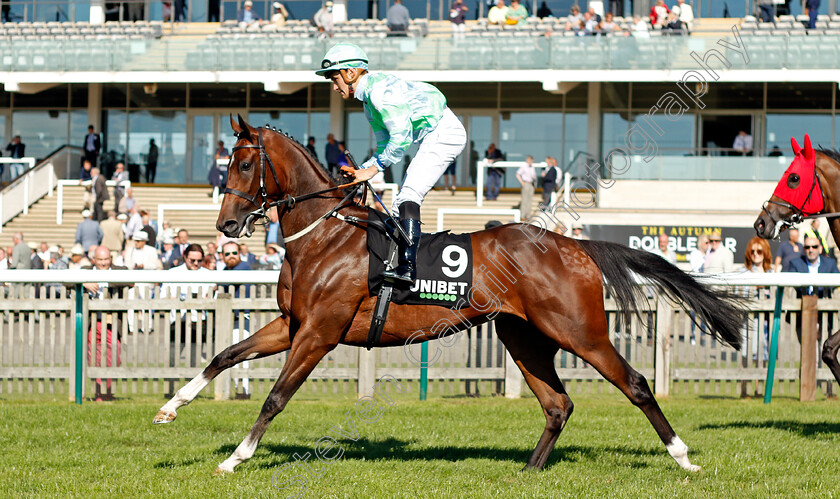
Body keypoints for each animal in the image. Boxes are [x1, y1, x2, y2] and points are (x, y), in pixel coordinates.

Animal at [154, 114, 744, 476]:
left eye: (244, 164)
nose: (226, 226)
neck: (325, 235)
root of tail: (575, 245)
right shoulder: (292, 324)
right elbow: (224, 354)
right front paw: (169, 408)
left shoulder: (320, 332)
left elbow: (276, 396)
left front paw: (236, 457)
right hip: (523, 336)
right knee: (558, 403)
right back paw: (529, 470)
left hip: (579, 331)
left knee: (637, 384)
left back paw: (683, 457)